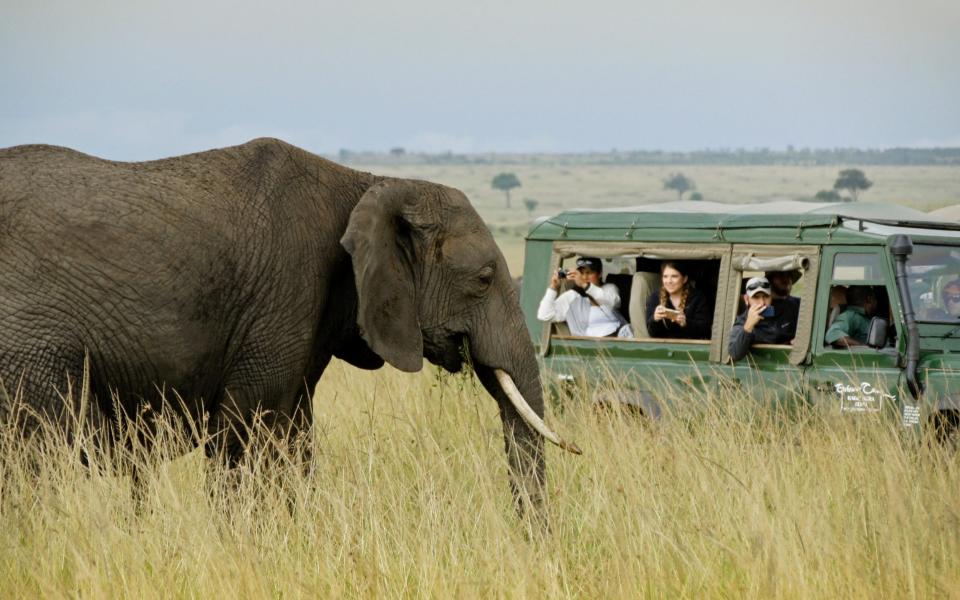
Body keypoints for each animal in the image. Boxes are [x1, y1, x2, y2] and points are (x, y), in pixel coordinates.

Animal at [0, 138, 576, 516]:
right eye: (484, 278)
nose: (536, 542)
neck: (367, 183)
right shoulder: (285, 294)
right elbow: (252, 437)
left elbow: (294, 439)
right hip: (29, 343)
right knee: (39, 453)